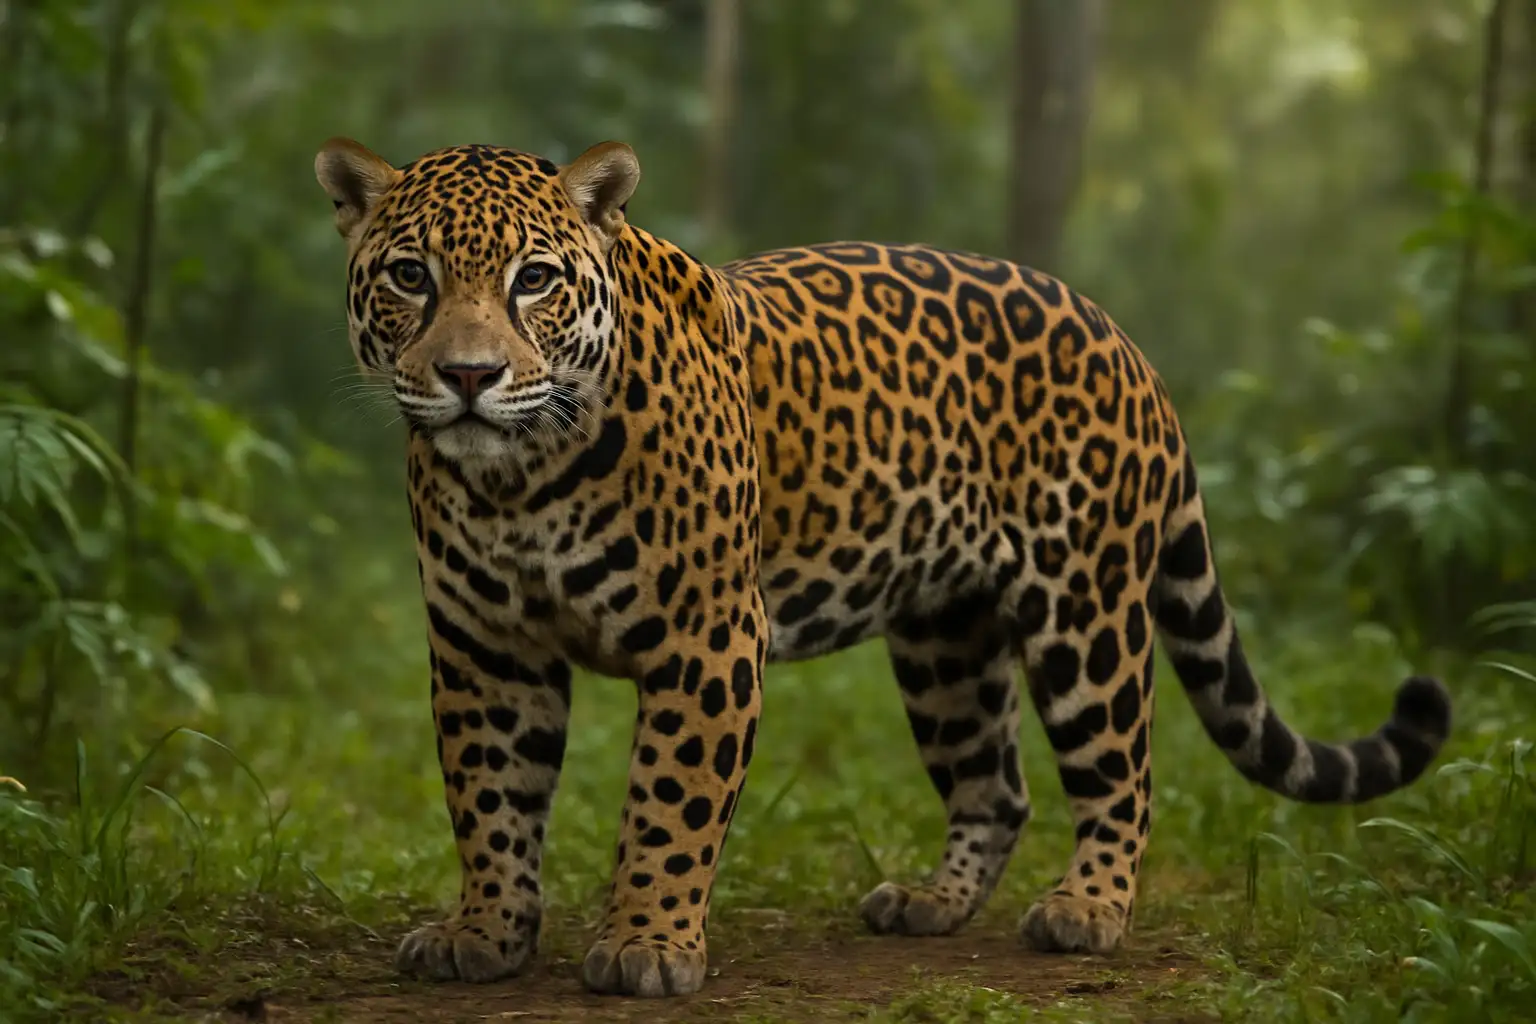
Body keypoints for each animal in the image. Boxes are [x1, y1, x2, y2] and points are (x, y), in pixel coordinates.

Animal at [314, 137, 1452, 999]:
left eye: (534, 281)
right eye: (411, 275)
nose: (468, 377)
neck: (520, 478)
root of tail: (1125, 339)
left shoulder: (707, 638)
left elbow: (671, 801)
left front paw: (646, 942)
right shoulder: (486, 647)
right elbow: (489, 797)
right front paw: (486, 931)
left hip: (1084, 612)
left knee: (1123, 768)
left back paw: (1087, 908)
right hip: (947, 640)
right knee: (997, 787)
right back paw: (932, 903)